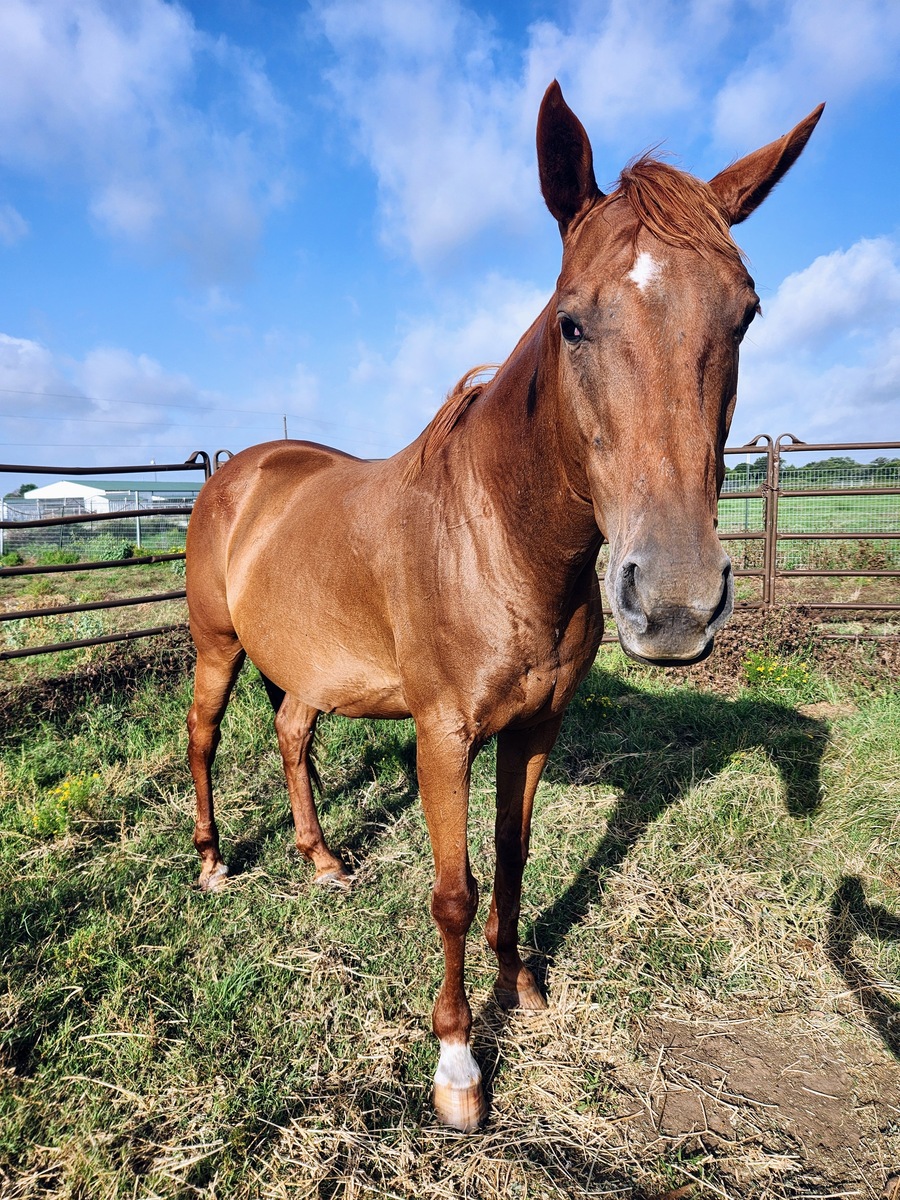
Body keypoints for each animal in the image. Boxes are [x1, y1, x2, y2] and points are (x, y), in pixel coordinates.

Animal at [186, 81, 822, 1131]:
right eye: (571, 322)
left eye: (746, 314)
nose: (675, 603)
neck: (500, 544)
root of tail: (239, 470)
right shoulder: (443, 735)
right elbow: (453, 887)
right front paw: (457, 1062)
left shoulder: (535, 728)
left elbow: (515, 859)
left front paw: (520, 984)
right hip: (217, 647)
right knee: (201, 741)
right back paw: (209, 860)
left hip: (305, 666)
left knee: (291, 735)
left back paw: (321, 861)